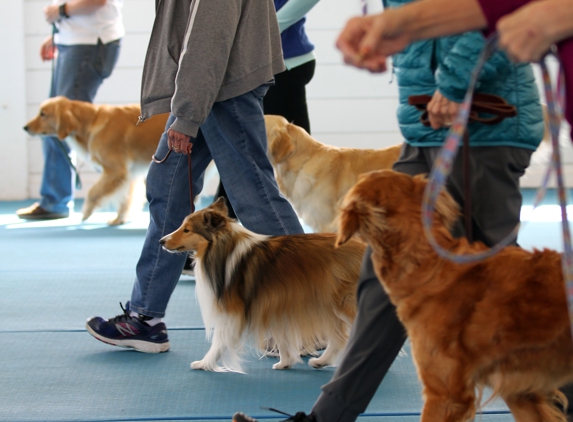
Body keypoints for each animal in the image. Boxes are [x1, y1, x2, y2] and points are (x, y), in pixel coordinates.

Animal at [24, 97, 168, 226]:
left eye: (43, 114)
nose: (25, 127)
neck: (92, 120)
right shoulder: (129, 173)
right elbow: (125, 199)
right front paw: (119, 219)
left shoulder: (115, 171)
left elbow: (92, 192)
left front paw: (86, 212)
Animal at [158, 198, 362, 372]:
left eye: (187, 230)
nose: (161, 241)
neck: (225, 250)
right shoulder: (277, 304)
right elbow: (282, 337)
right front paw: (285, 362)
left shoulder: (233, 312)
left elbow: (219, 340)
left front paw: (204, 363)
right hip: (326, 305)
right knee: (338, 339)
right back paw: (321, 361)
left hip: (341, 303)